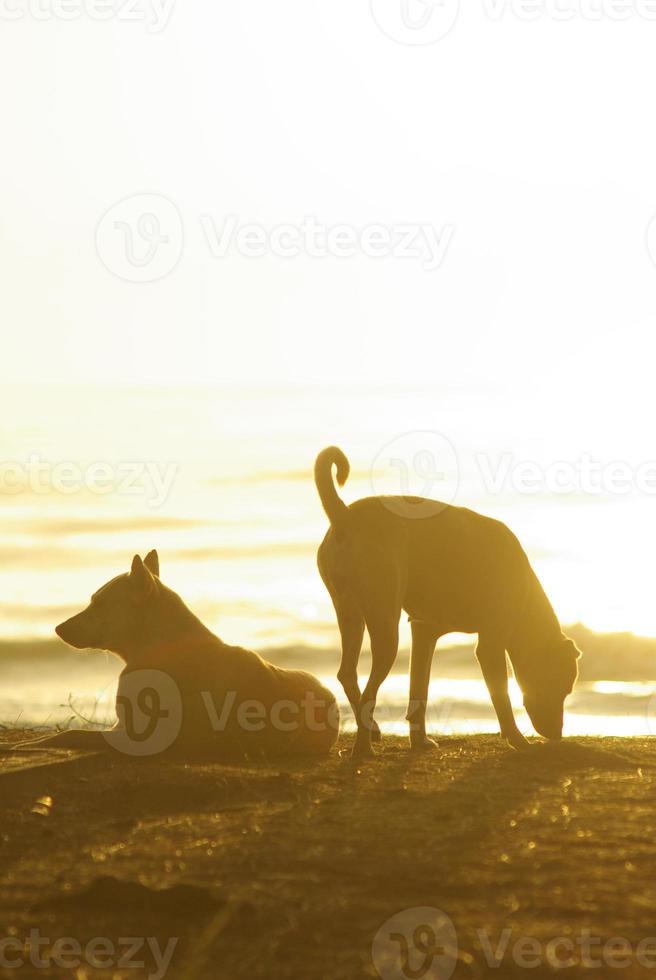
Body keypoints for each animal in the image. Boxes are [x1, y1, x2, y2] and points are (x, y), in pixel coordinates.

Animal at [18, 552, 338, 756]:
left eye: (99, 603)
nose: (58, 628)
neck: (161, 644)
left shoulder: (129, 735)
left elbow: (69, 733)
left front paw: (23, 745)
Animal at [316, 444, 580, 756]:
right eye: (563, 686)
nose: (557, 735)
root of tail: (344, 516)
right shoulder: (490, 645)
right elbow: (500, 697)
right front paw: (516, 739)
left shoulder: (424, 631)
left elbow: (419, 689)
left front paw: (419, 740)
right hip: (384, 621)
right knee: (370, 686)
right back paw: (363, 746)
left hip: (348, 610)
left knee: (347, 673)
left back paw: (373, 730)